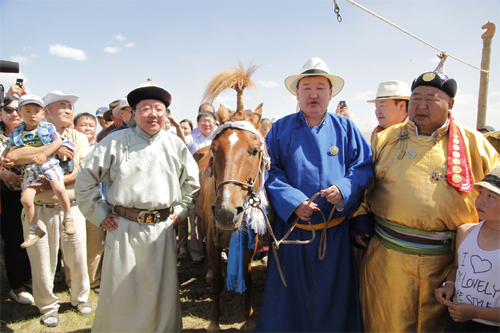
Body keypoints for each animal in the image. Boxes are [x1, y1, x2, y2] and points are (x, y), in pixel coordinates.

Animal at [194, 102, 268, 330]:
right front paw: (214, 322)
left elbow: (248, 278)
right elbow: (218, 282)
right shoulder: (212, 241)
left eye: (255, 150)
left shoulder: (250, 243)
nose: (225, 213)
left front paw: (249, 319)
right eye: (215, 150)